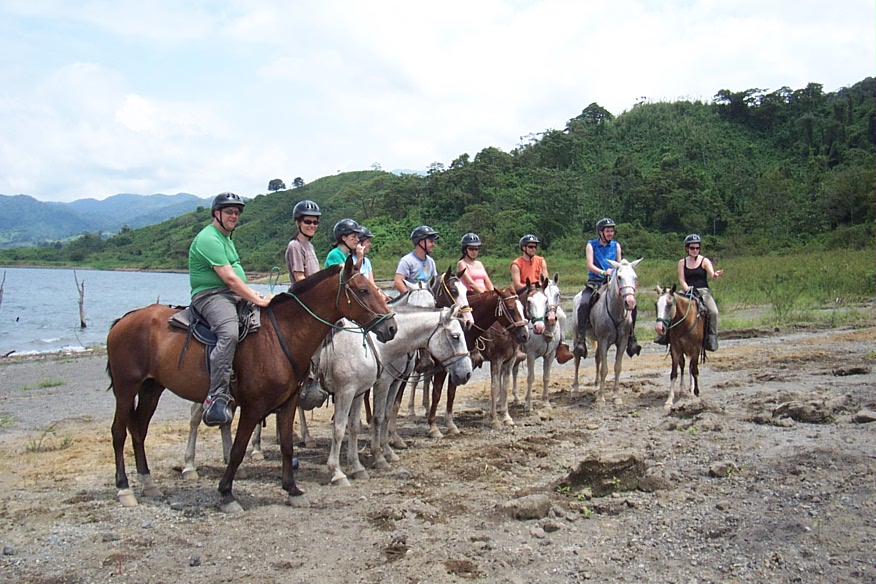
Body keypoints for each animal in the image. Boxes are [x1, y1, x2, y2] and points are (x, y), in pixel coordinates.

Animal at [106, 258, 396, 512]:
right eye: (363, 290)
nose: (391, 327)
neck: (281, 335)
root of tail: (124, 320)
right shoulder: (254, 407)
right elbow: (238, 449)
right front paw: (226, 494)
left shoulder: (288, 403)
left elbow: (287, 445)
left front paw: (293, 490)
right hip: (126, 388)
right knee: (119, 432)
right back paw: (125, 489)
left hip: (151, 388)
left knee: (139, 430)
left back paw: (148, 483)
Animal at [422, 286, 528, 440]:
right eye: (511, 308)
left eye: (522, 307)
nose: (525, 335)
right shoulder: (495, 360)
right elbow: (437, 393)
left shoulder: (508, 361)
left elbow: (452, 393)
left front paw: (506, 417)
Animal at [510, 274, 564, 410]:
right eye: (546, 295)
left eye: (558, 294)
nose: (551, 318)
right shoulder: (531, 354)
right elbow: (531, 377)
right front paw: (529, 404)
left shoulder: (550, 354)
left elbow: (546, 377)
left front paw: (546, 402)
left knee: (514, 371)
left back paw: (516, 399)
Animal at [568, 258, 644, 404]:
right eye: (619, 277)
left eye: (635, 277)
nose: (630, 302)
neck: (616, 311)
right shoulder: (603, 340)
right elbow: (604, 368)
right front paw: (600, 398)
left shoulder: (622, 341)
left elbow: (617, 367)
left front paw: (616, 396)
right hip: (576, 336)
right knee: (577, 359)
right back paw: (575, 389)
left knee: (597, 358)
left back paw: (597, 385)